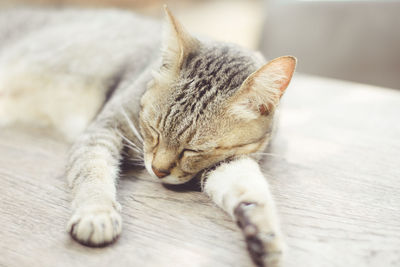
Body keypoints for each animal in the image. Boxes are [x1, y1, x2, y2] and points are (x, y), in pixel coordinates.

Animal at [0, 6, 294, 267]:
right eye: (154, 130)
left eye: (194, 150)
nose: (158, 170)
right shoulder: (103, 130)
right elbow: (93, 172)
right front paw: (97, 211)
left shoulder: (229, 160)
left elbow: (248, 188)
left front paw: (262, 231)